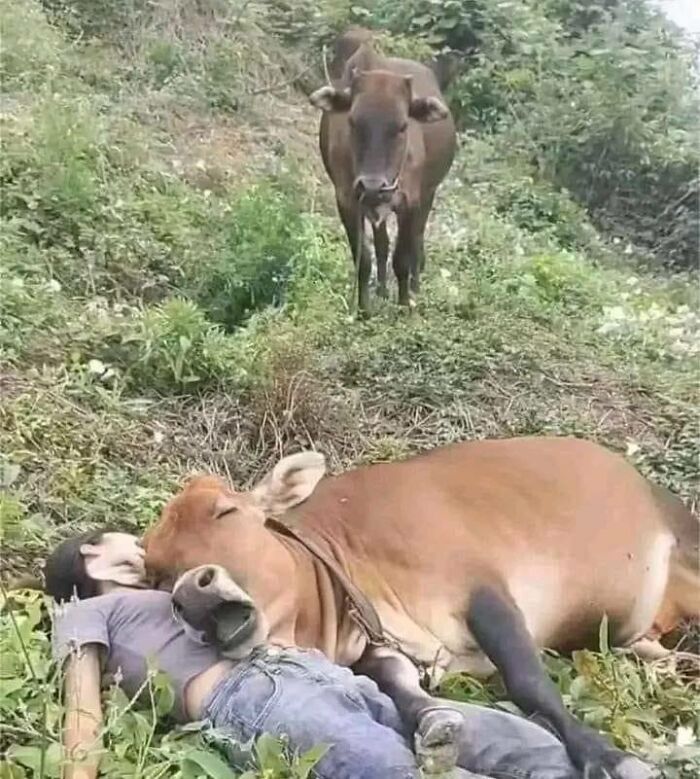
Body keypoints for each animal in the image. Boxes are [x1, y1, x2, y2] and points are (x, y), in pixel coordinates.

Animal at [144, 437, 699, 779]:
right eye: (156, 574)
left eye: (226, 510)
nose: (193, 594)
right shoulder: (383, 643)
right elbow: (399, 684)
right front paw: (433, 720)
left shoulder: (481, 586)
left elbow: (529, 681)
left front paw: (606, 757)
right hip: (640, 638)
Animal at [310, 29, 457, 314]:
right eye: (353, 121)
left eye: (402, 126)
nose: (373, 186)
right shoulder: (348, 200)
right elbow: (364, 258)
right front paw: (364, 309)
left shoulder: (410, 202)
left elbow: (402, 258)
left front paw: (404, 305)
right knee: (382, 243)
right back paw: (381, 289)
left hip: (427, 194)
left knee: (417, 241)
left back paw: (414, 286)